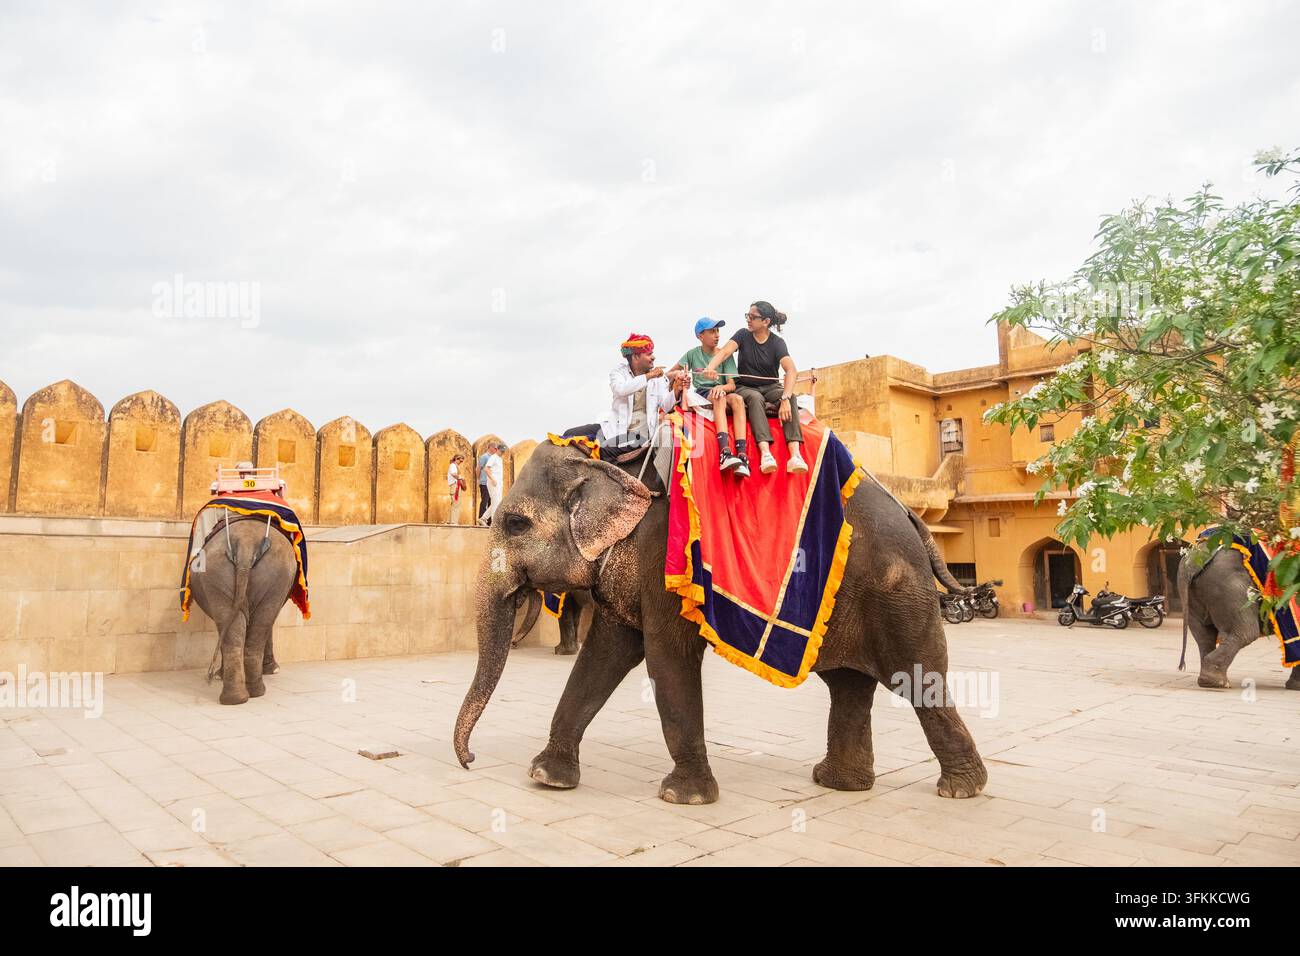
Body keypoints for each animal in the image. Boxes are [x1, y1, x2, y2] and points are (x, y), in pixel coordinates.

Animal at [187, 516, 297, 705]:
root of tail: (246, 542)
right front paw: (273, 670)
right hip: (270, 576)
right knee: (257, 624)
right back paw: (254, 692)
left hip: (220, 573)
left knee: (235, 629)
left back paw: (237, 698)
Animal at [454, 440, 988, 805]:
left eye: (516, 524)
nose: (470, 761)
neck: (611, 465)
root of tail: (912, 516)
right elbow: (605, 656)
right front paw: (547, 777)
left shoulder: (666, 558)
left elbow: (667, 659)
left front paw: (683, 797)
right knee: (848, 685)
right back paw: (840, 784)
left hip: (897, 591)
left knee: (916, 678)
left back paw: (960, 790)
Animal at [1178, 544, 1300, 691]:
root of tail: (1194, 559)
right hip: (1232, 587)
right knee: (1245, 633)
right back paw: (1218, 683)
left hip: (1194, 595)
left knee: (1204, 636)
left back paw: (1210, 681)